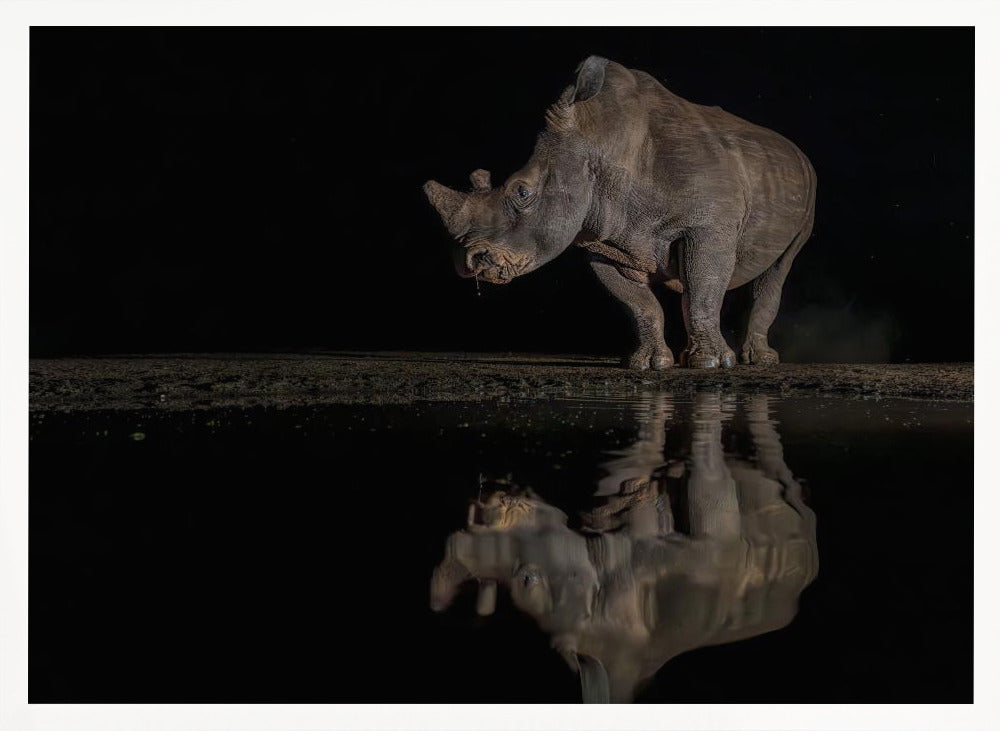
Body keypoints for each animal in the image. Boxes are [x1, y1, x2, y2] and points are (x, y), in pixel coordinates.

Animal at [424, 56, 816, 369]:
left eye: (522, 192)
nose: (470, 262)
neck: (598, 144)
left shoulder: (707, 226)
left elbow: (702, 291)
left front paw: (709, 364)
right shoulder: (603, 240)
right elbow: (639, 304)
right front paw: (649, 364)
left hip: (809, 189)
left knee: (778, 269)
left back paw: (758, 361)